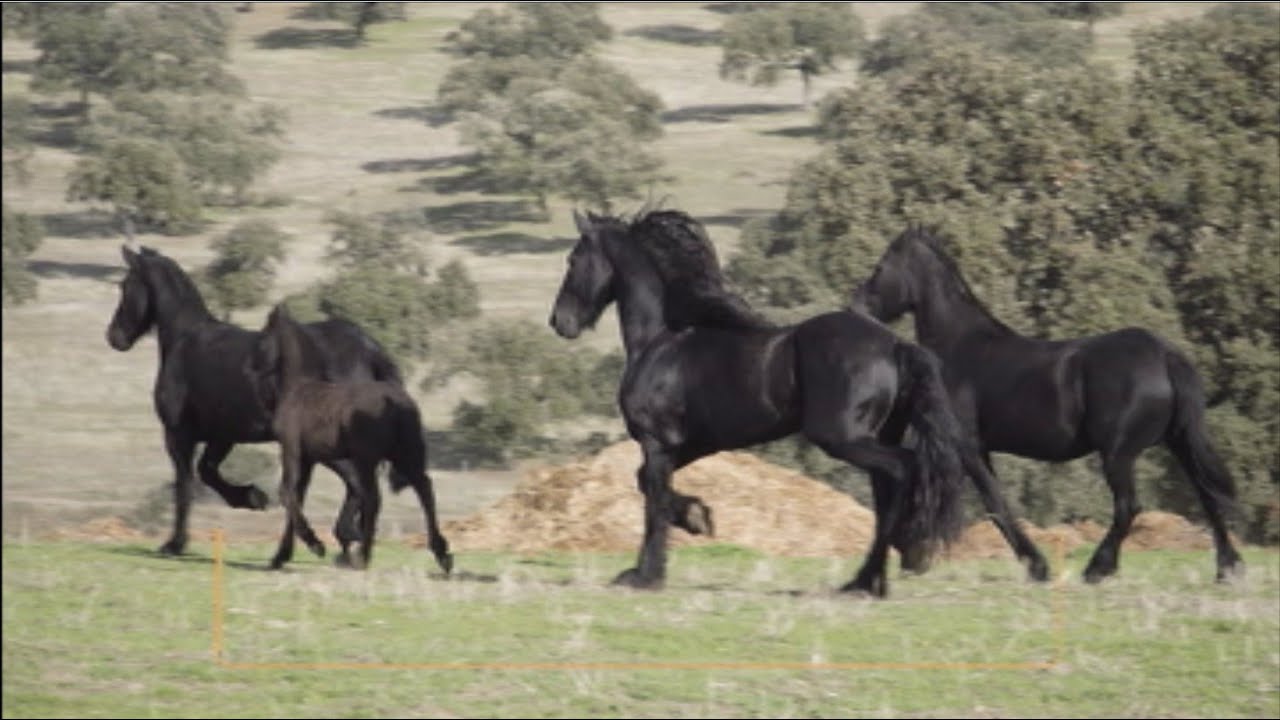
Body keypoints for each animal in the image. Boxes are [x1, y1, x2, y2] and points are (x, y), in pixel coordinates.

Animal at [107, 244, 393, 563]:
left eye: (124, 286)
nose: (114, 336)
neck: (185, 341)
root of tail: (366, 349)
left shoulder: (178, 434)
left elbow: (184, 485)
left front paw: (175, 544)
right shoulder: (222, 436)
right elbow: (208, 471)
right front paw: (252, 497)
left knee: (354, 484)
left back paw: (330, 540)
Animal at [549, 209, 972, 598]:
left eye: (573, 260)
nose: (560, 322)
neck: (661, 342)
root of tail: (895, 344)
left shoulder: (656, 443)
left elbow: (652, 503)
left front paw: (643, 575)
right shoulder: (689, 446)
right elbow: (648, 487)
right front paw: (697, 518)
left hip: (843, 439)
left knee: (903, 469)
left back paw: (881, 569)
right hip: (876, 435)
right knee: (887, 489)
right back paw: (874, 578)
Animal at [851, 225, 1244, 583]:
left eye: (882, 266)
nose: (857, 306)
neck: (959, 349)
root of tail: (1163, 354)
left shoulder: (966, 446)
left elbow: (995, 504)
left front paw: (1036, 565)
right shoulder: (979, 449)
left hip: (1118, 454)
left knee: (1128, 507)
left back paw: (1098, 568)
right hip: (1178, 442)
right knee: (1208, 497)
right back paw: (1228, 568)